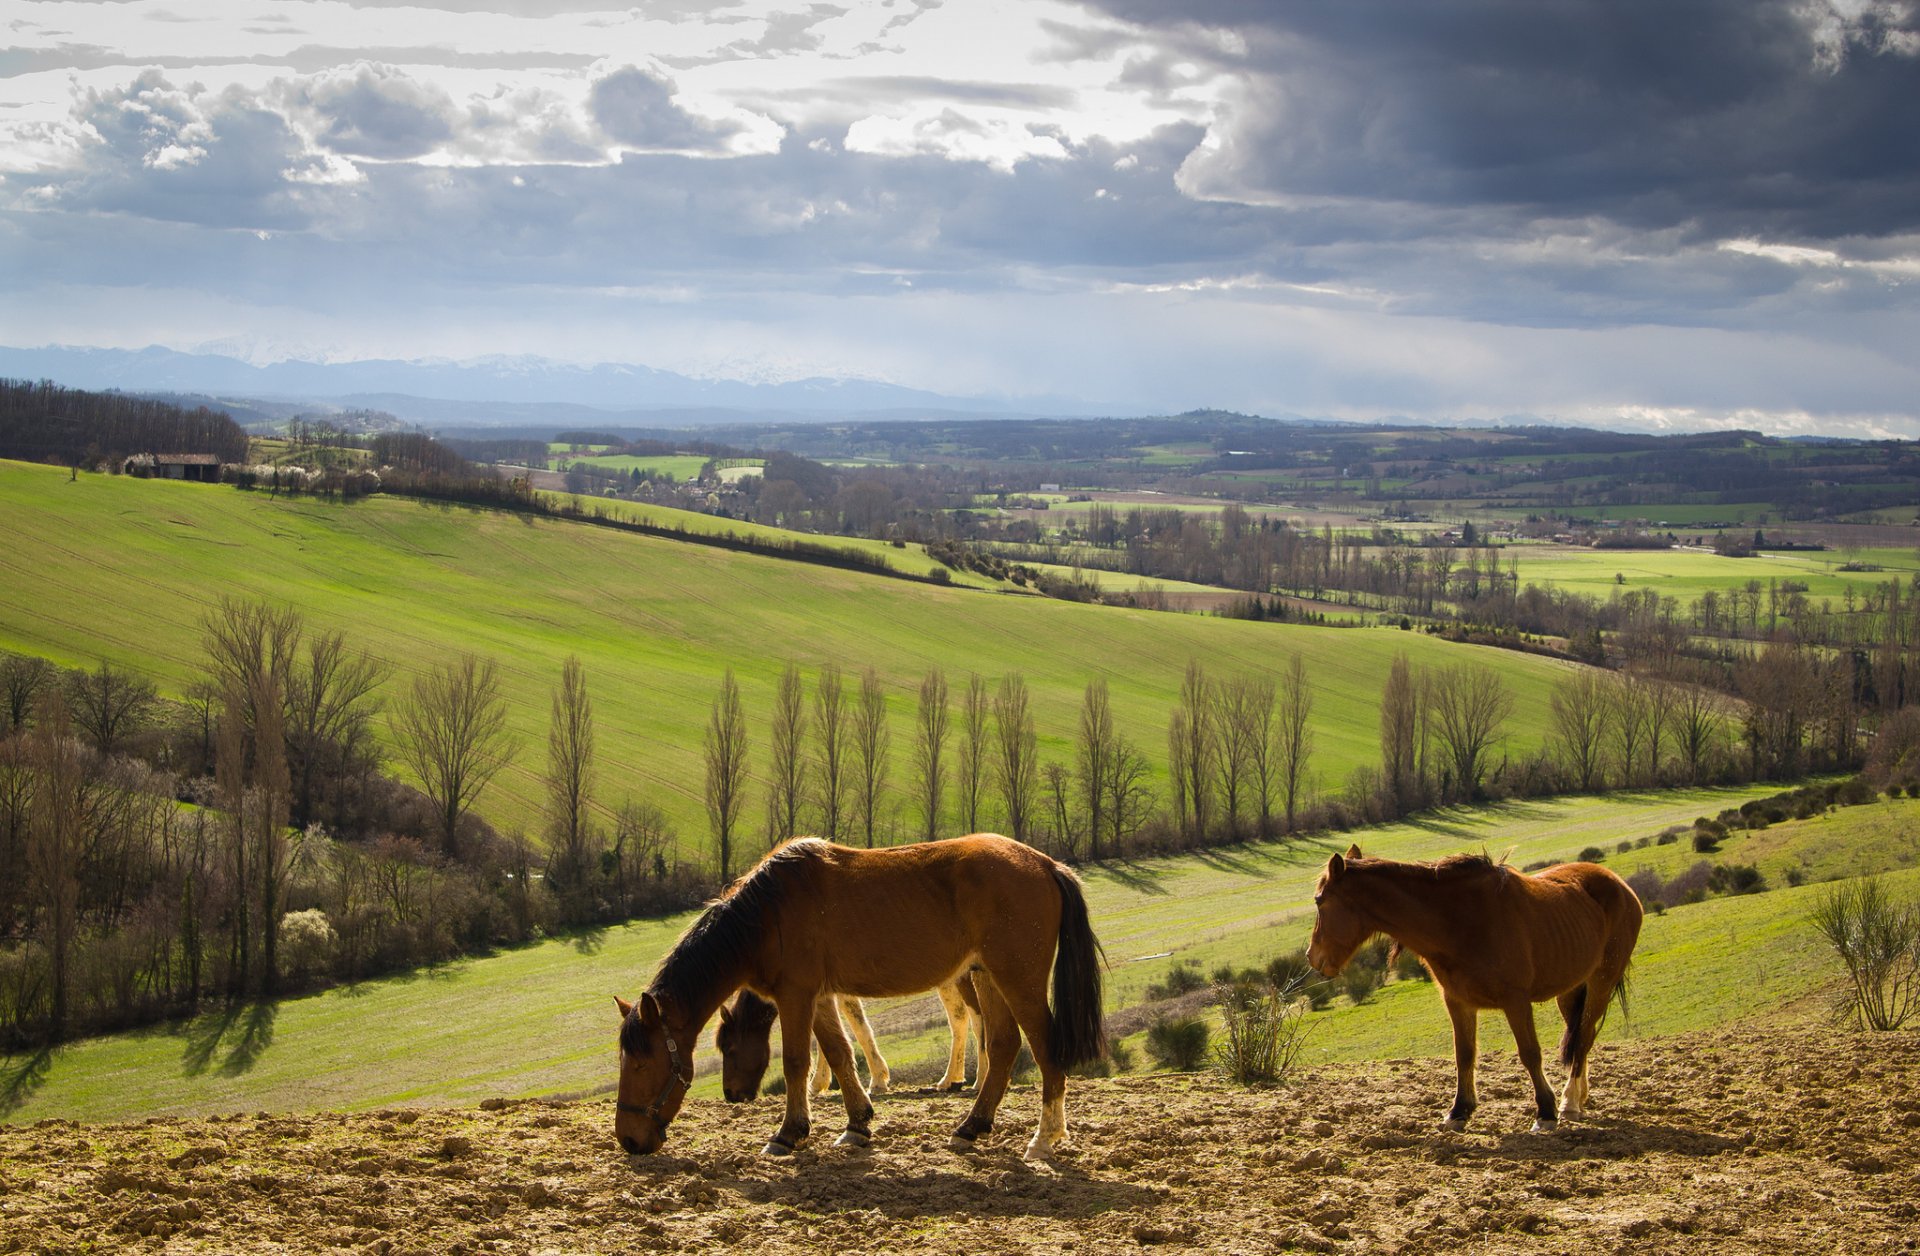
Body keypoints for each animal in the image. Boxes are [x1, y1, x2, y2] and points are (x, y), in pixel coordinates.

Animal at [717, 975, 981, 1103]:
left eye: (729, 1049)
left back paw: (976, 1080)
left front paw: (878, 1079)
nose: (729, 1094)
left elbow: (858, 1027)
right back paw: (952, 1079)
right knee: (961, 1018)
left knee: (975, 1017)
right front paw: (818, 1083)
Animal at [1307, 843, 1642, 1133]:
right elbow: (1464, 1054)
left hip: (1601, 981)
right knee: (1581, 1037)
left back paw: (1569, 1102)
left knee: (1583, 1038)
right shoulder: (1457, 1001)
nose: (1313, 957)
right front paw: (1459, 1111)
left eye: (1319, 900)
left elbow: (1529, 1053)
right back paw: (1577, 1099)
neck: (1458, 922)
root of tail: (1618, 884)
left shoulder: (1515, 1000)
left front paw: (1545, 1113)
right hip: (1570, 990)